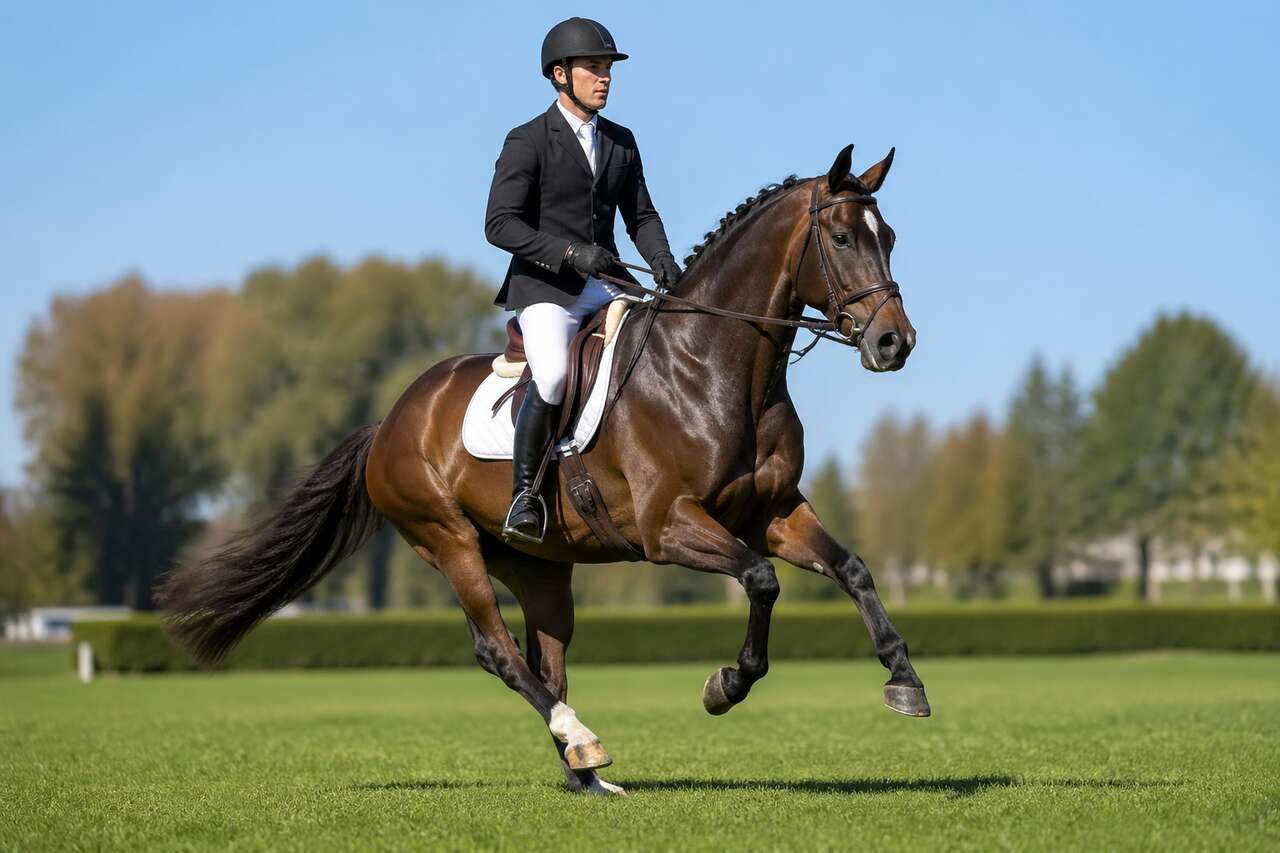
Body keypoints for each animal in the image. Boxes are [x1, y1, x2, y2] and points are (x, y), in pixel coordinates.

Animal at [157, 143, 928, 797]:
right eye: (842, 239)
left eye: (888, 237)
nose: (895, 343)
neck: (718, 369)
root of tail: (392, 420)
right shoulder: (668, 526)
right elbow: (761, 581)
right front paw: (724, 686)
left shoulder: (771, 512)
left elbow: (852, 568)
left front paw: (905, 680)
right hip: (448, 541)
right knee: (498, 652)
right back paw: (582, 741)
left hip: (541, 566)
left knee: (545, 657)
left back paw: (585, 772)